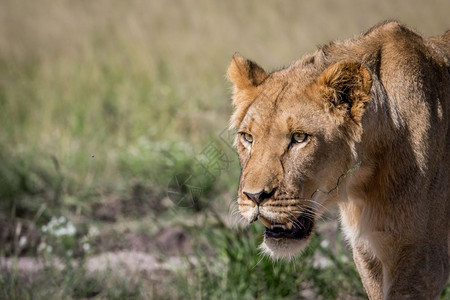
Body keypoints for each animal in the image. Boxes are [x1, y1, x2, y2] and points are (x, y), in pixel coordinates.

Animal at [229, 21, 450, 300]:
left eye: (299, 137)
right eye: (248, 137)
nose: (254, 197)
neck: (363, 183)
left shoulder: (424, 259)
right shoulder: (368, 253)